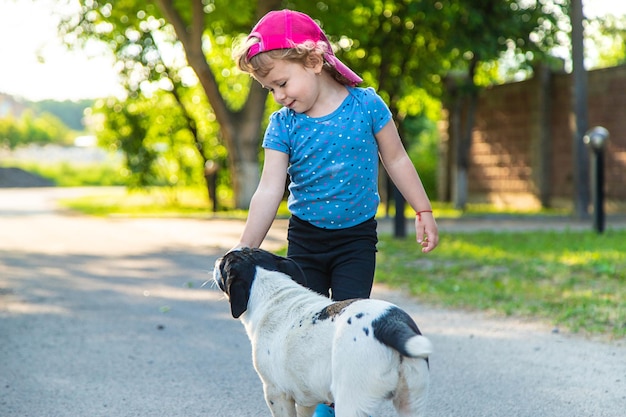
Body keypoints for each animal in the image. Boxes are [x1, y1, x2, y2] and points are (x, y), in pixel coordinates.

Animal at [213, 247, 428, 416]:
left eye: (223, 263)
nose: (216, 261)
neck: (272, 294)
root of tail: (388, 324)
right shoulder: (306, 396)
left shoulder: (276, 393)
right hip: (411, 402)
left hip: (351, 402)